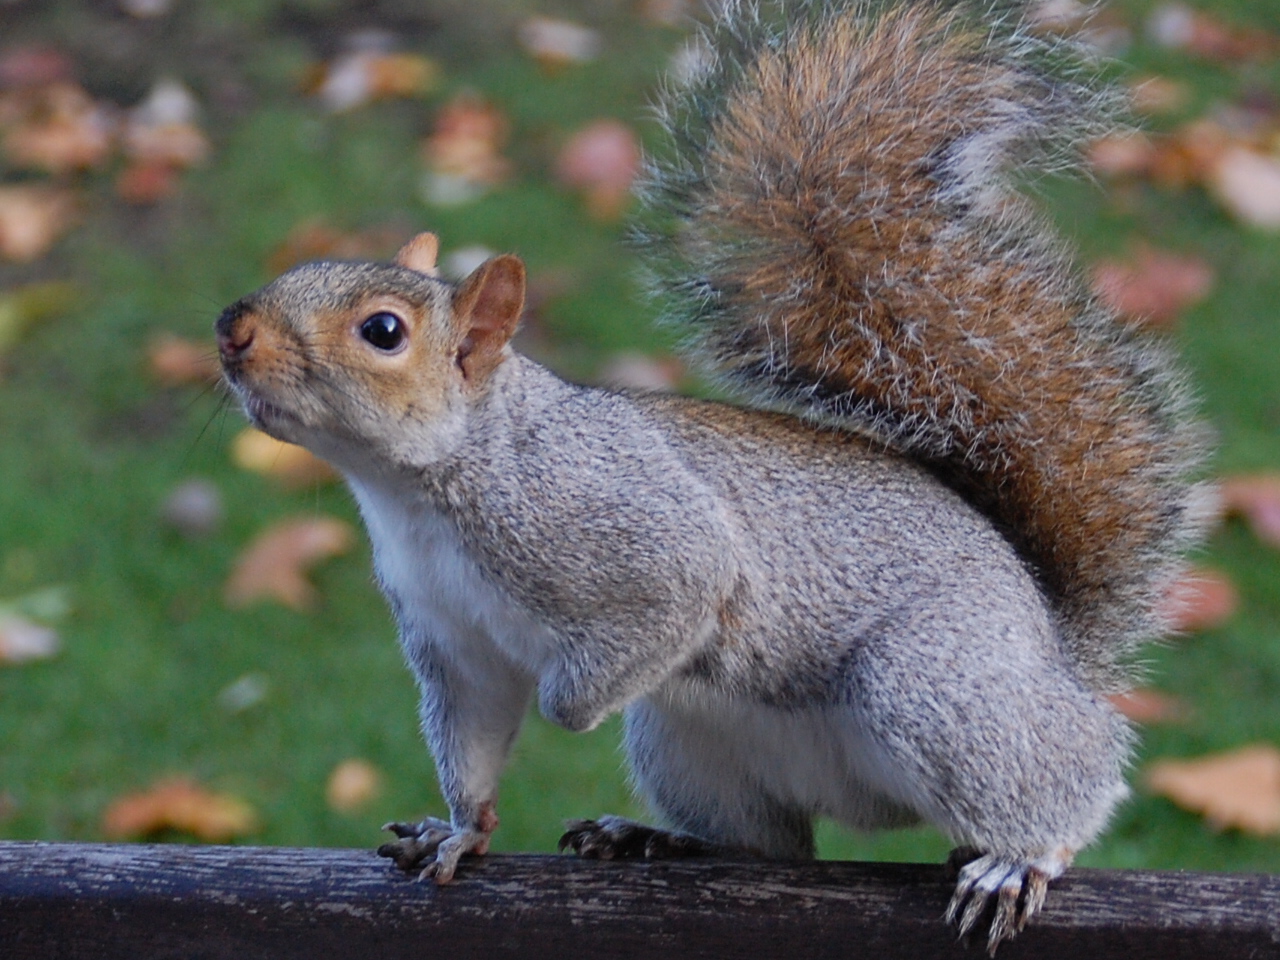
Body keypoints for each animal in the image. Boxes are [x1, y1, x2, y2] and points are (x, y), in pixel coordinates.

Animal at [215, 0, 1203, 957]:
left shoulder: (622, 524)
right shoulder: (454, 645)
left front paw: (569, 707)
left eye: (382, 331)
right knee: (770, 846)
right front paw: (462, 831)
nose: (231, 328)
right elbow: (474, 740)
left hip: (933, 688)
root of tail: (1051, 647)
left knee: (1074, 770)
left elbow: (674, 598)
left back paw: (1022, 854)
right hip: (694, 747)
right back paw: (657, 839)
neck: (424, 490)